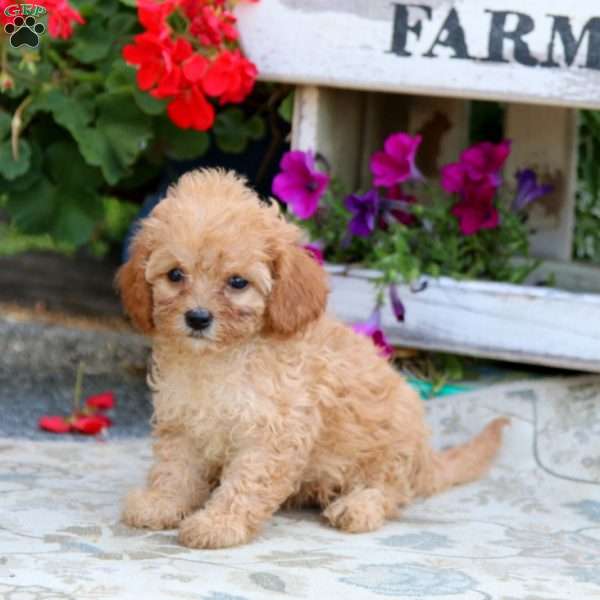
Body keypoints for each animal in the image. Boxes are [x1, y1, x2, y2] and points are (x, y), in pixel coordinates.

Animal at [116, 169, 506, 548]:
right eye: (175, 275)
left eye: (238, 282)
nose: (197, 318)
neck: (220, 358)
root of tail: (427, 458)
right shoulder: (181, 421)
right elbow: (175, 470)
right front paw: (161, 503)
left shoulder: (271, 432)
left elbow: (245, 484)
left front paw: (219, 523)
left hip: (390, 449)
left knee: (391, 490)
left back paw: (358, 506)